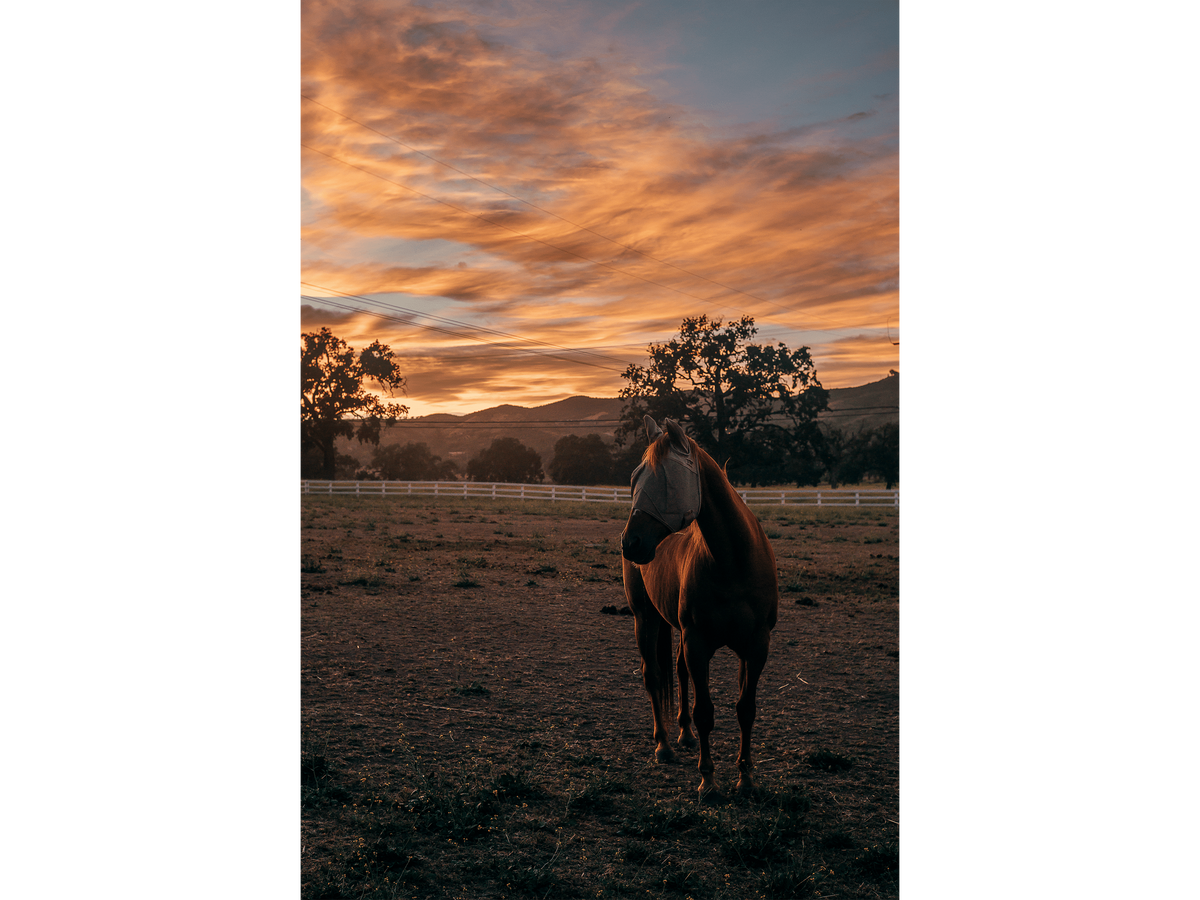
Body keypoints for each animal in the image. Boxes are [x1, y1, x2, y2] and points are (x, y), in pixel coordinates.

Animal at [620, 415, 779, 802]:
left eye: (665, 480)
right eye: (634, 478)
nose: (630, 543)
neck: (733, 561)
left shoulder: (756, 646)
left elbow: (745, 709)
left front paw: (746, 778)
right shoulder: (699, 643)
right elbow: (705, 710)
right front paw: (708, 780)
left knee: (678, 672)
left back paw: (685, 735)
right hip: (645, 618)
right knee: (653, 675)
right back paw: (664, 745)